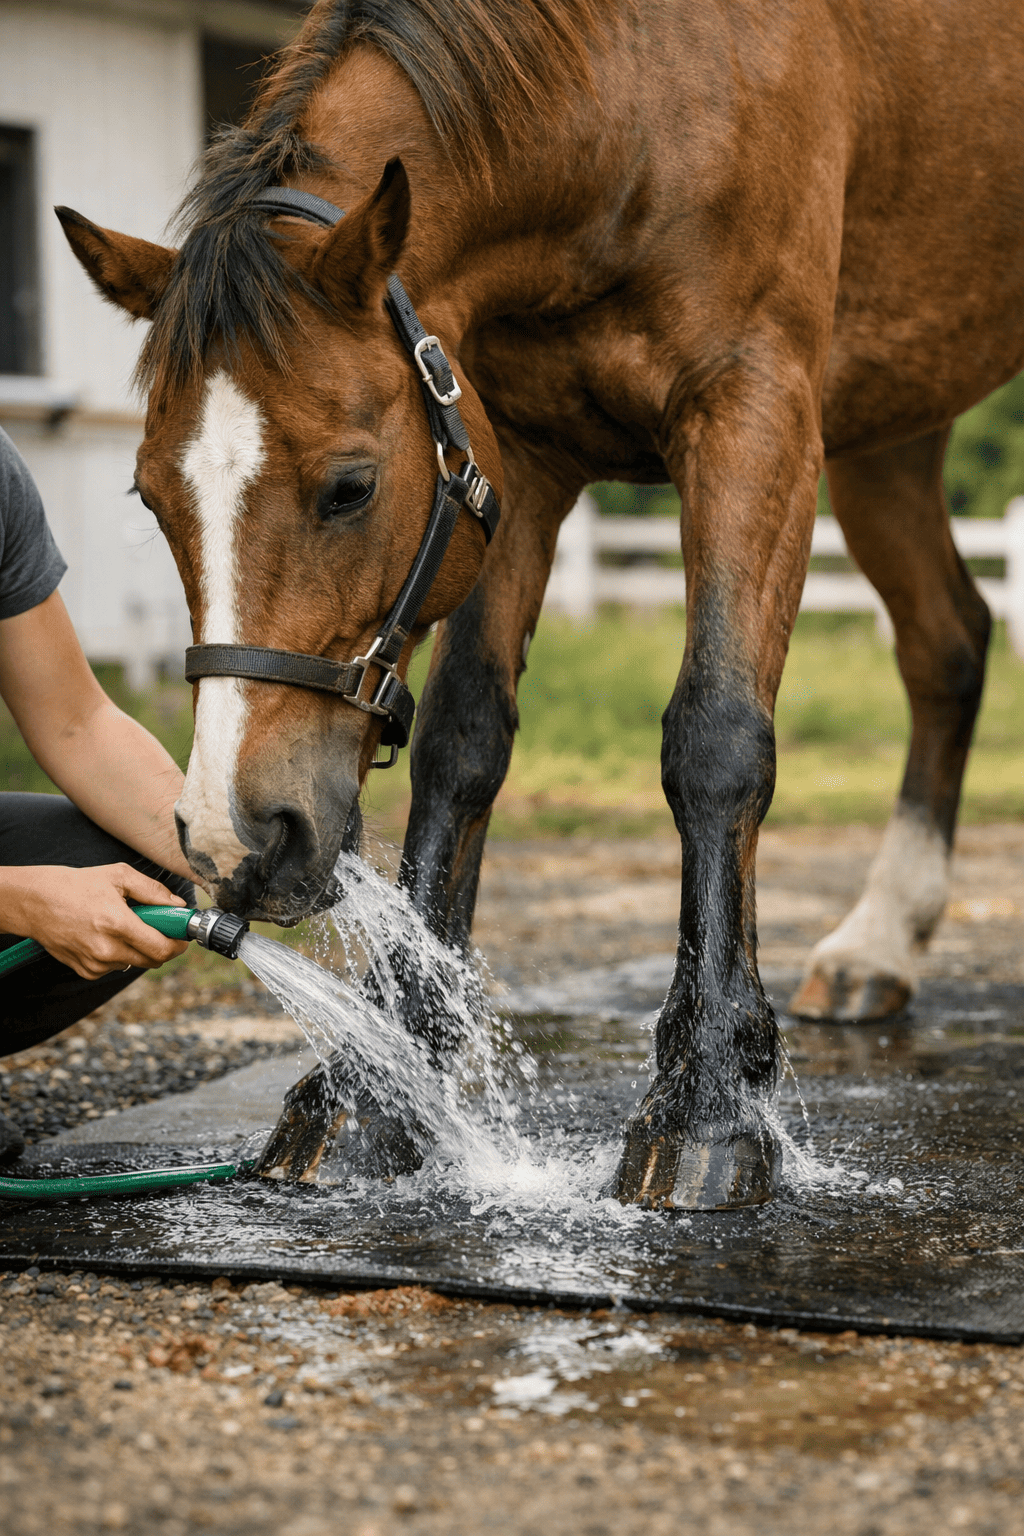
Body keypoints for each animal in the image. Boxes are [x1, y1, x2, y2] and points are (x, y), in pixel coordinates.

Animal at [57, 0, 1024, 1209]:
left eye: (350, 486)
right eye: (151, 497)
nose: (235, 838)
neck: (638, 96)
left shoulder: (753, 415)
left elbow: (715, 740)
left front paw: (706, 1106)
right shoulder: (508, 453)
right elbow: (461, 748)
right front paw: (372, 1088)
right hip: (891, 424)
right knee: (949, 642)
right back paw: (881, 941)